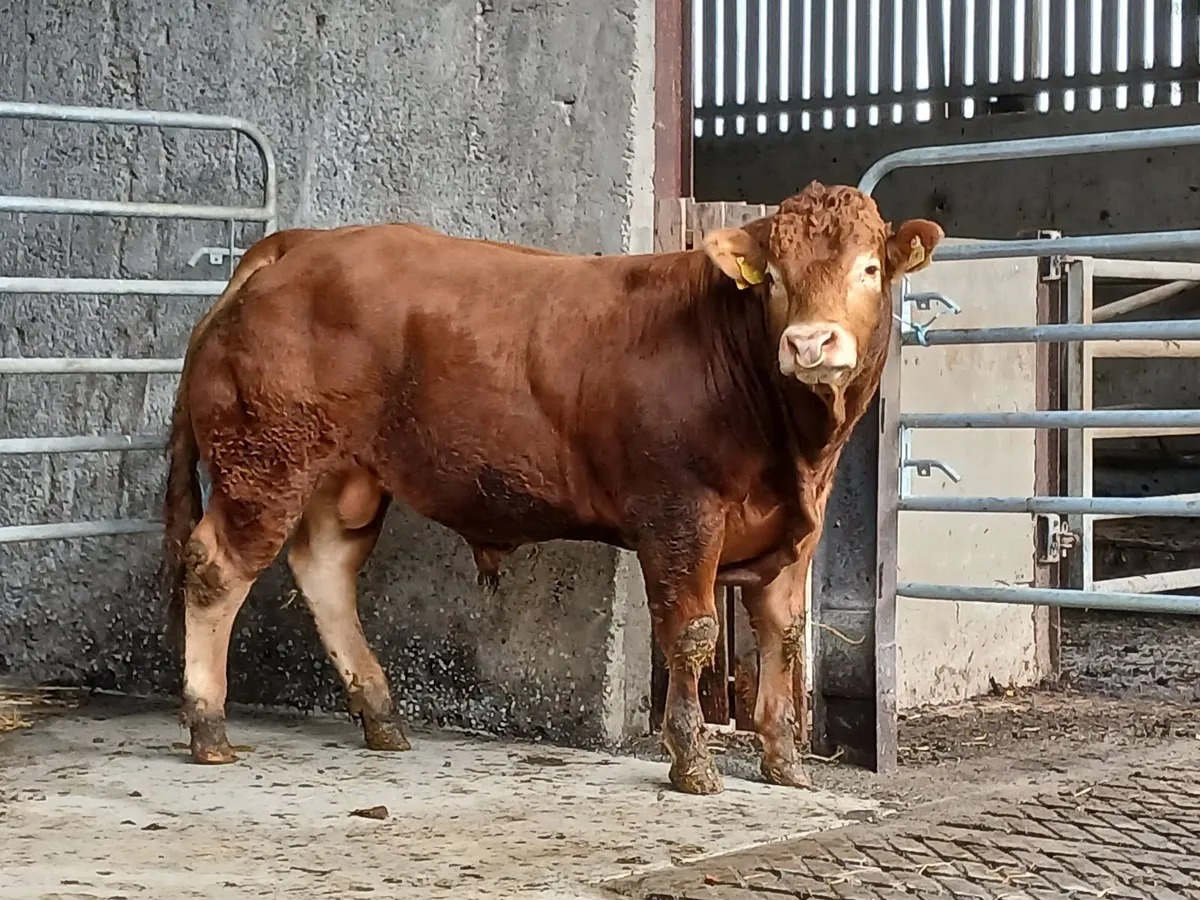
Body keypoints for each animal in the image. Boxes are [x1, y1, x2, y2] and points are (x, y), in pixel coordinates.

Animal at [162, 181, 942, 794]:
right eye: (774, 277)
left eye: (870, 267)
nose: (810, 344)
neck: (795, 451)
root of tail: (298, 245)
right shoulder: (679, 514)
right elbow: (690, 635)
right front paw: (691, 762)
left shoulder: (792, 530)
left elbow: (782, 634)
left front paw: (786, 765)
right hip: (263, 461)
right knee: (216, 569)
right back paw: (208, 725)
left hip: (342, 474)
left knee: (323, 569)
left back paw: (380, 716)